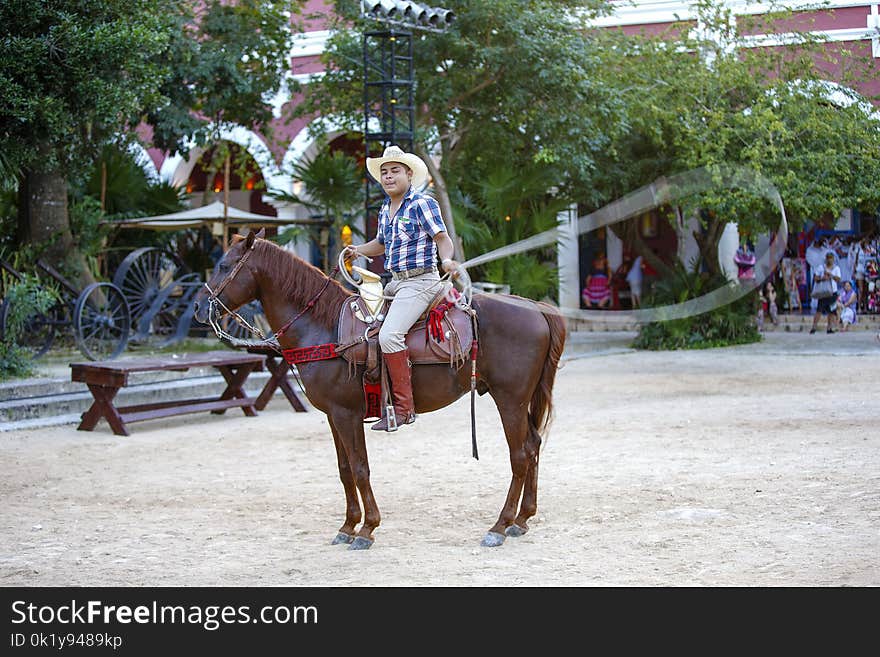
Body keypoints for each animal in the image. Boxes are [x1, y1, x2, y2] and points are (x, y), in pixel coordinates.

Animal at [192, 231, 564, 548]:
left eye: (223, 265)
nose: (197, 307)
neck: (325, 328)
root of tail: (536, 308)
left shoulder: (347, 414)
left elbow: (360, 468)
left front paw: (367, 529)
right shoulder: (333, 415)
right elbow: (344, 470)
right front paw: (347, 526)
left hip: (510, 400)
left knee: (520, 454)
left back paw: (499, 525)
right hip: (521, 400)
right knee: (533, 445)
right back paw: (522, 519)